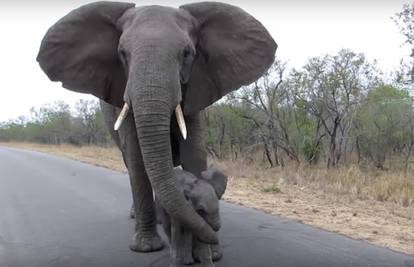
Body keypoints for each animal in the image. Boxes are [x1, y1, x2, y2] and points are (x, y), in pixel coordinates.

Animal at [37, 0, 276, 258]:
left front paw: (211, 253)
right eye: (122, 54)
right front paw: (147, 248)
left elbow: (194, 155)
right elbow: (137, 160)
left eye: (187, 53)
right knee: (131, 165)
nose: (212, 228)